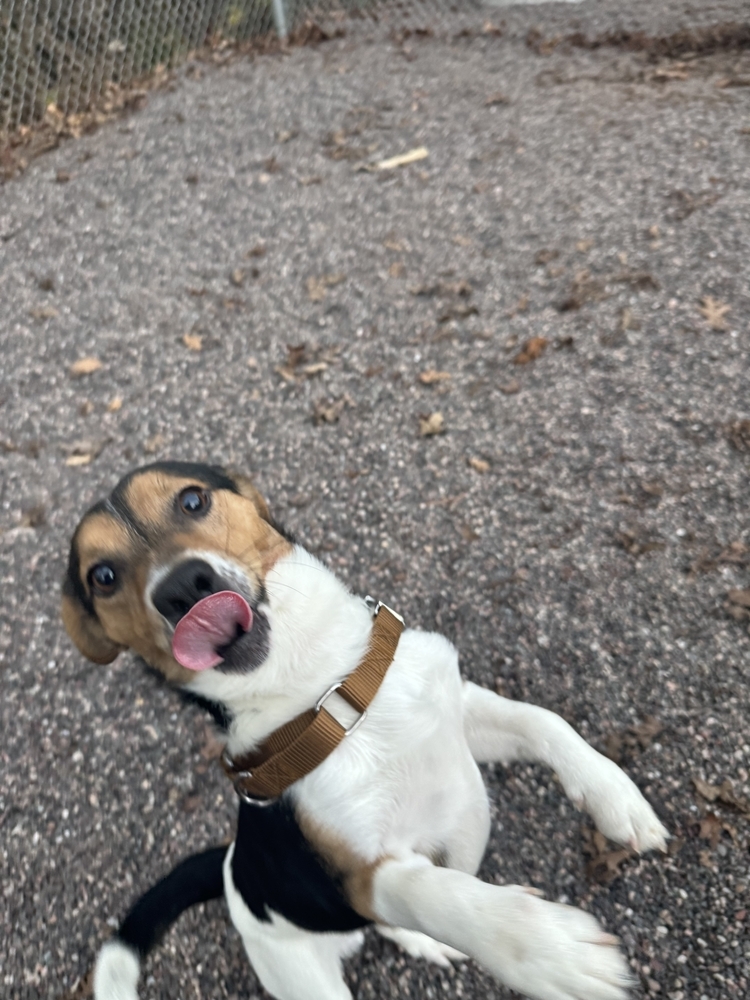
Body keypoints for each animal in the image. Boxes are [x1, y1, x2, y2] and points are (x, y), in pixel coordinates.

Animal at [60, 460, 668, 1000]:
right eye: (103, 576)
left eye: (192, 500)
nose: (183, 587)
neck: (329, 693)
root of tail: (232, 866)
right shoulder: (361, 876)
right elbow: (434, 892)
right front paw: (543, 947)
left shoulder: (460, 715)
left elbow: (544, 722)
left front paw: (614, 796)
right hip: (303, 975)